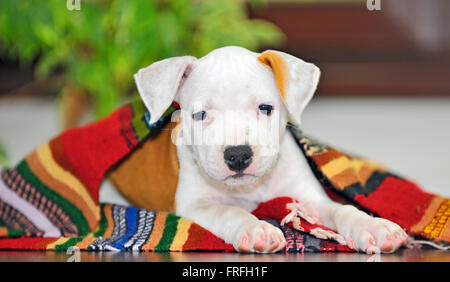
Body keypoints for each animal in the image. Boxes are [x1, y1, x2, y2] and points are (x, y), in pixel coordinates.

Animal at [134, 45, 408, 253]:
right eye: (200, 115)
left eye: (265, 108)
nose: (238, 155)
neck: (252, 188)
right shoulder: (194, 205)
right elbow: (228, 211)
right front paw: (255, 228)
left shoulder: (308, 199)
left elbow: (342, 209)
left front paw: (374, 226)